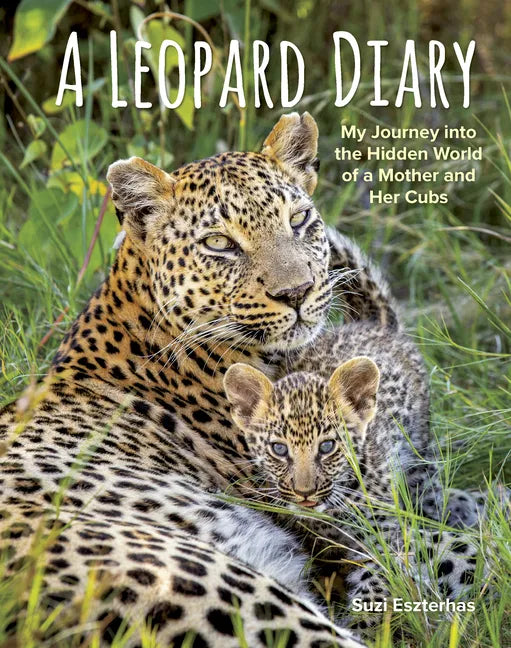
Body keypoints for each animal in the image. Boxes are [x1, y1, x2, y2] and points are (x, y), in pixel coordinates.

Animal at [224, 356, 488, 634]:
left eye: (327, 446)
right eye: (279, 449)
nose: (305, 493)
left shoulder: (381, 536)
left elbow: (379, 581)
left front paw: (363, 628)